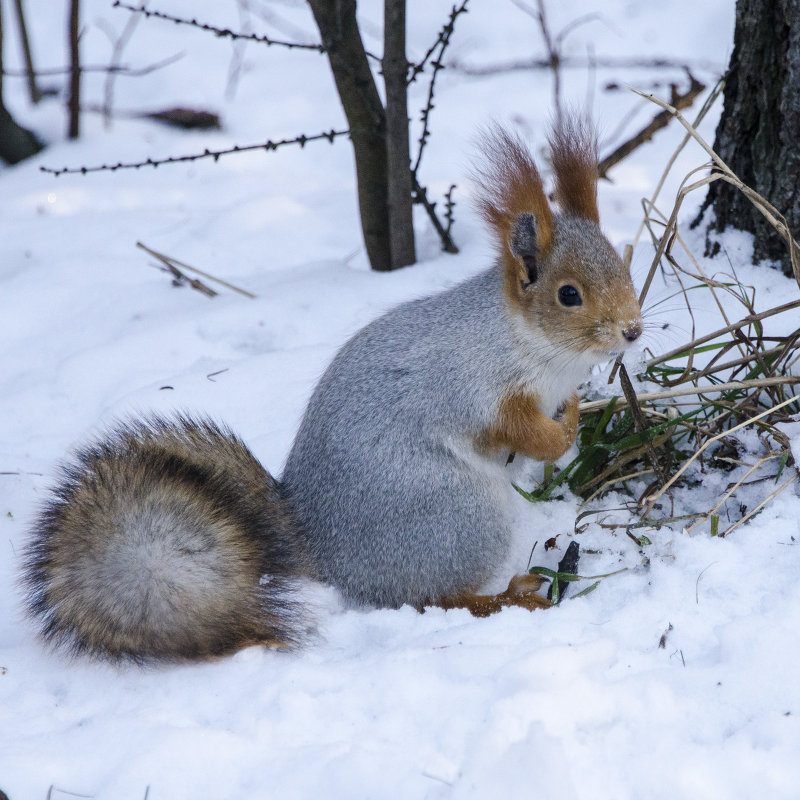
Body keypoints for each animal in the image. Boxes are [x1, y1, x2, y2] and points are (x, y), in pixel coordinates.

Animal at [18, 117, 644, 664]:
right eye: (568, 295)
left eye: (623, 265)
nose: (633, 330)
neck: (534, 345)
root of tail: (315, 543)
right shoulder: (478, 388)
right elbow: (526, 432)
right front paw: (566, 429)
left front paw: (577, 409)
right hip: (456, 514)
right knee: (434, 597)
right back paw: (509, 598)